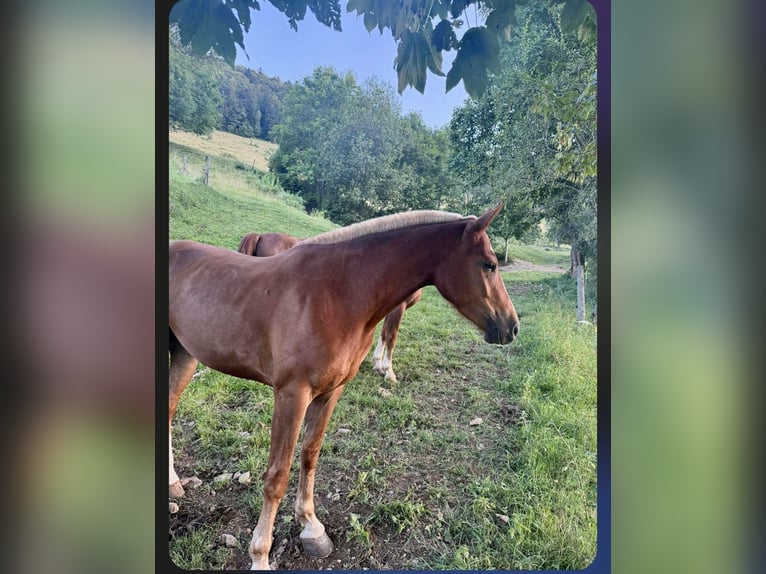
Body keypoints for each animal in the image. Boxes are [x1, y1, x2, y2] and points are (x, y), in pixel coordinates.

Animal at [170, 205, 520, 568]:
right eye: (489, 264)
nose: (511, 327)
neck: (338, 293)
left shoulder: (329, 392)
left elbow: (310, 455)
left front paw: (311, 528)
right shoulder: (292, 394)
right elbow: (276, 476)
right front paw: (260, 555)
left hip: (184, 355)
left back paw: (173, 484)